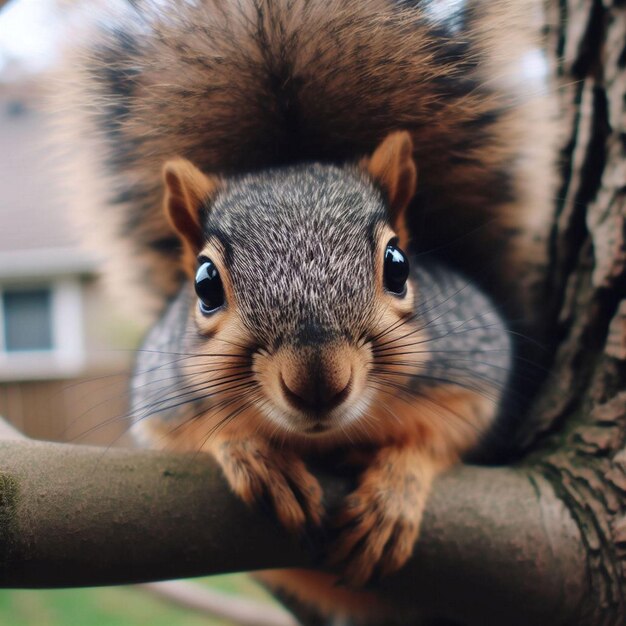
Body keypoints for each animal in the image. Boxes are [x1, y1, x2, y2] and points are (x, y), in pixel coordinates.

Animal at [56, 0, 556, 620]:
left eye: (398, 265)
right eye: (204, 285)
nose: (318, 381)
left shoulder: (475, 366)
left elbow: (444, 435)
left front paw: (395, 489)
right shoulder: (161, 403)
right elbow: (191, 438)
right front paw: (255, 457)